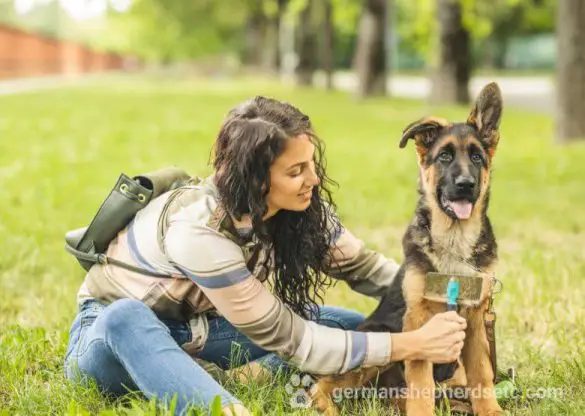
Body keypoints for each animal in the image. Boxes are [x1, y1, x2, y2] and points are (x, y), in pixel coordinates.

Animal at [312, 82, 504, 416]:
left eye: (477, 157)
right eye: (444, 156)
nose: (466, 184)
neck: (454, 240)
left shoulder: (477, 320)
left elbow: (482, 372)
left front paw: (490, 410)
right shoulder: (420, 323)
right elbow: (421, 381)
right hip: (380, 336)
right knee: (326, 384)